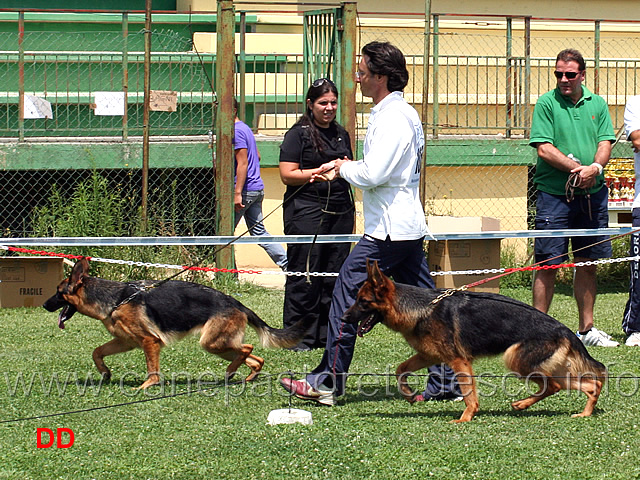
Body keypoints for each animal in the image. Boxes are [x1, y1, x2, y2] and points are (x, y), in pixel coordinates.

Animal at [43, 258, 306, 390]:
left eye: (57, 292)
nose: (44, 305)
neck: (116, 300)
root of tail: (237, 303)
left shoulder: (149, 341)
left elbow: (152, 370)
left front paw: (146, 386)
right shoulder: (126, 341)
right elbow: (97, 352)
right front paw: (105, 372)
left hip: (212, 342)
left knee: (247, 349)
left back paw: (231, 373)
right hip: (219, 345)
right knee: (255, 358)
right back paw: (243, 378)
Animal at [342, 260, 608, 422]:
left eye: (363, 302)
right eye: (356, 299)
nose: (343, 318)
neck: (421, 308)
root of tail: (564, 328)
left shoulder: (458, 361)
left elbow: (469, 393)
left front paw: (466, 417)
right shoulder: (429, 355)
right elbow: (400, 369)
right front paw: (408, 394)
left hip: (516, 359)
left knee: (561, 385)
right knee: (576, 385)